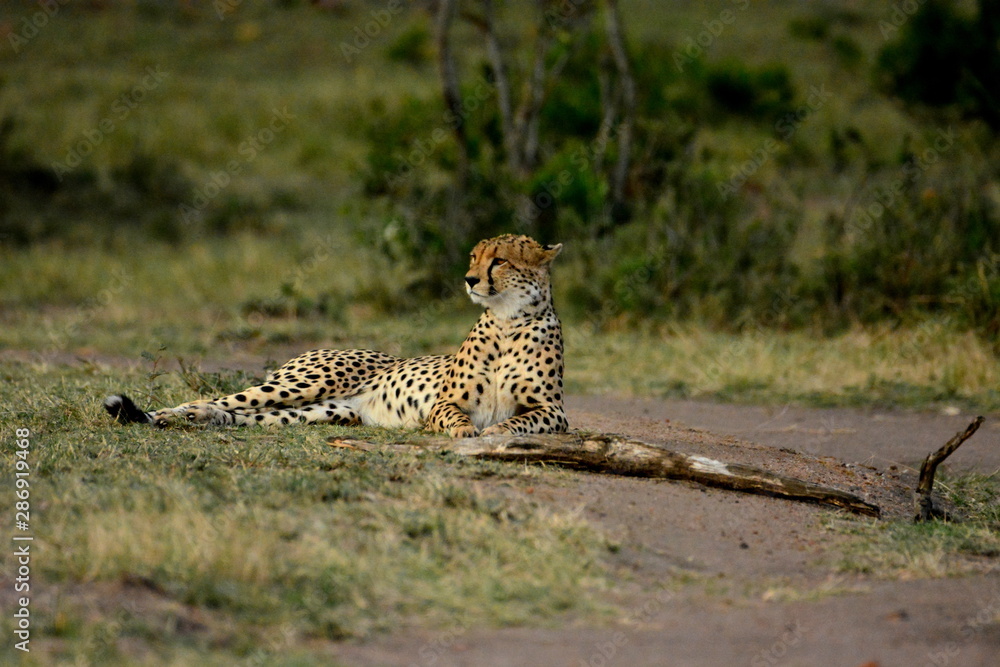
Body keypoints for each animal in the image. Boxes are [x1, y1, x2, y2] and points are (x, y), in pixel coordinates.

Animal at [104, 234, 568, 438]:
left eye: (500, 260)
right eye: (474, 257)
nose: (470, 280)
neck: (507, 320)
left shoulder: (553, 411)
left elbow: (521, 420)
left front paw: (496, 432)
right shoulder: (443, 403)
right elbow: (455, 416)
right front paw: (468, 431)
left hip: (326, 411)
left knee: (238, 414)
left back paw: (195, 420)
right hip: (303, 384)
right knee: (215, 399)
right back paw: (170, 415)